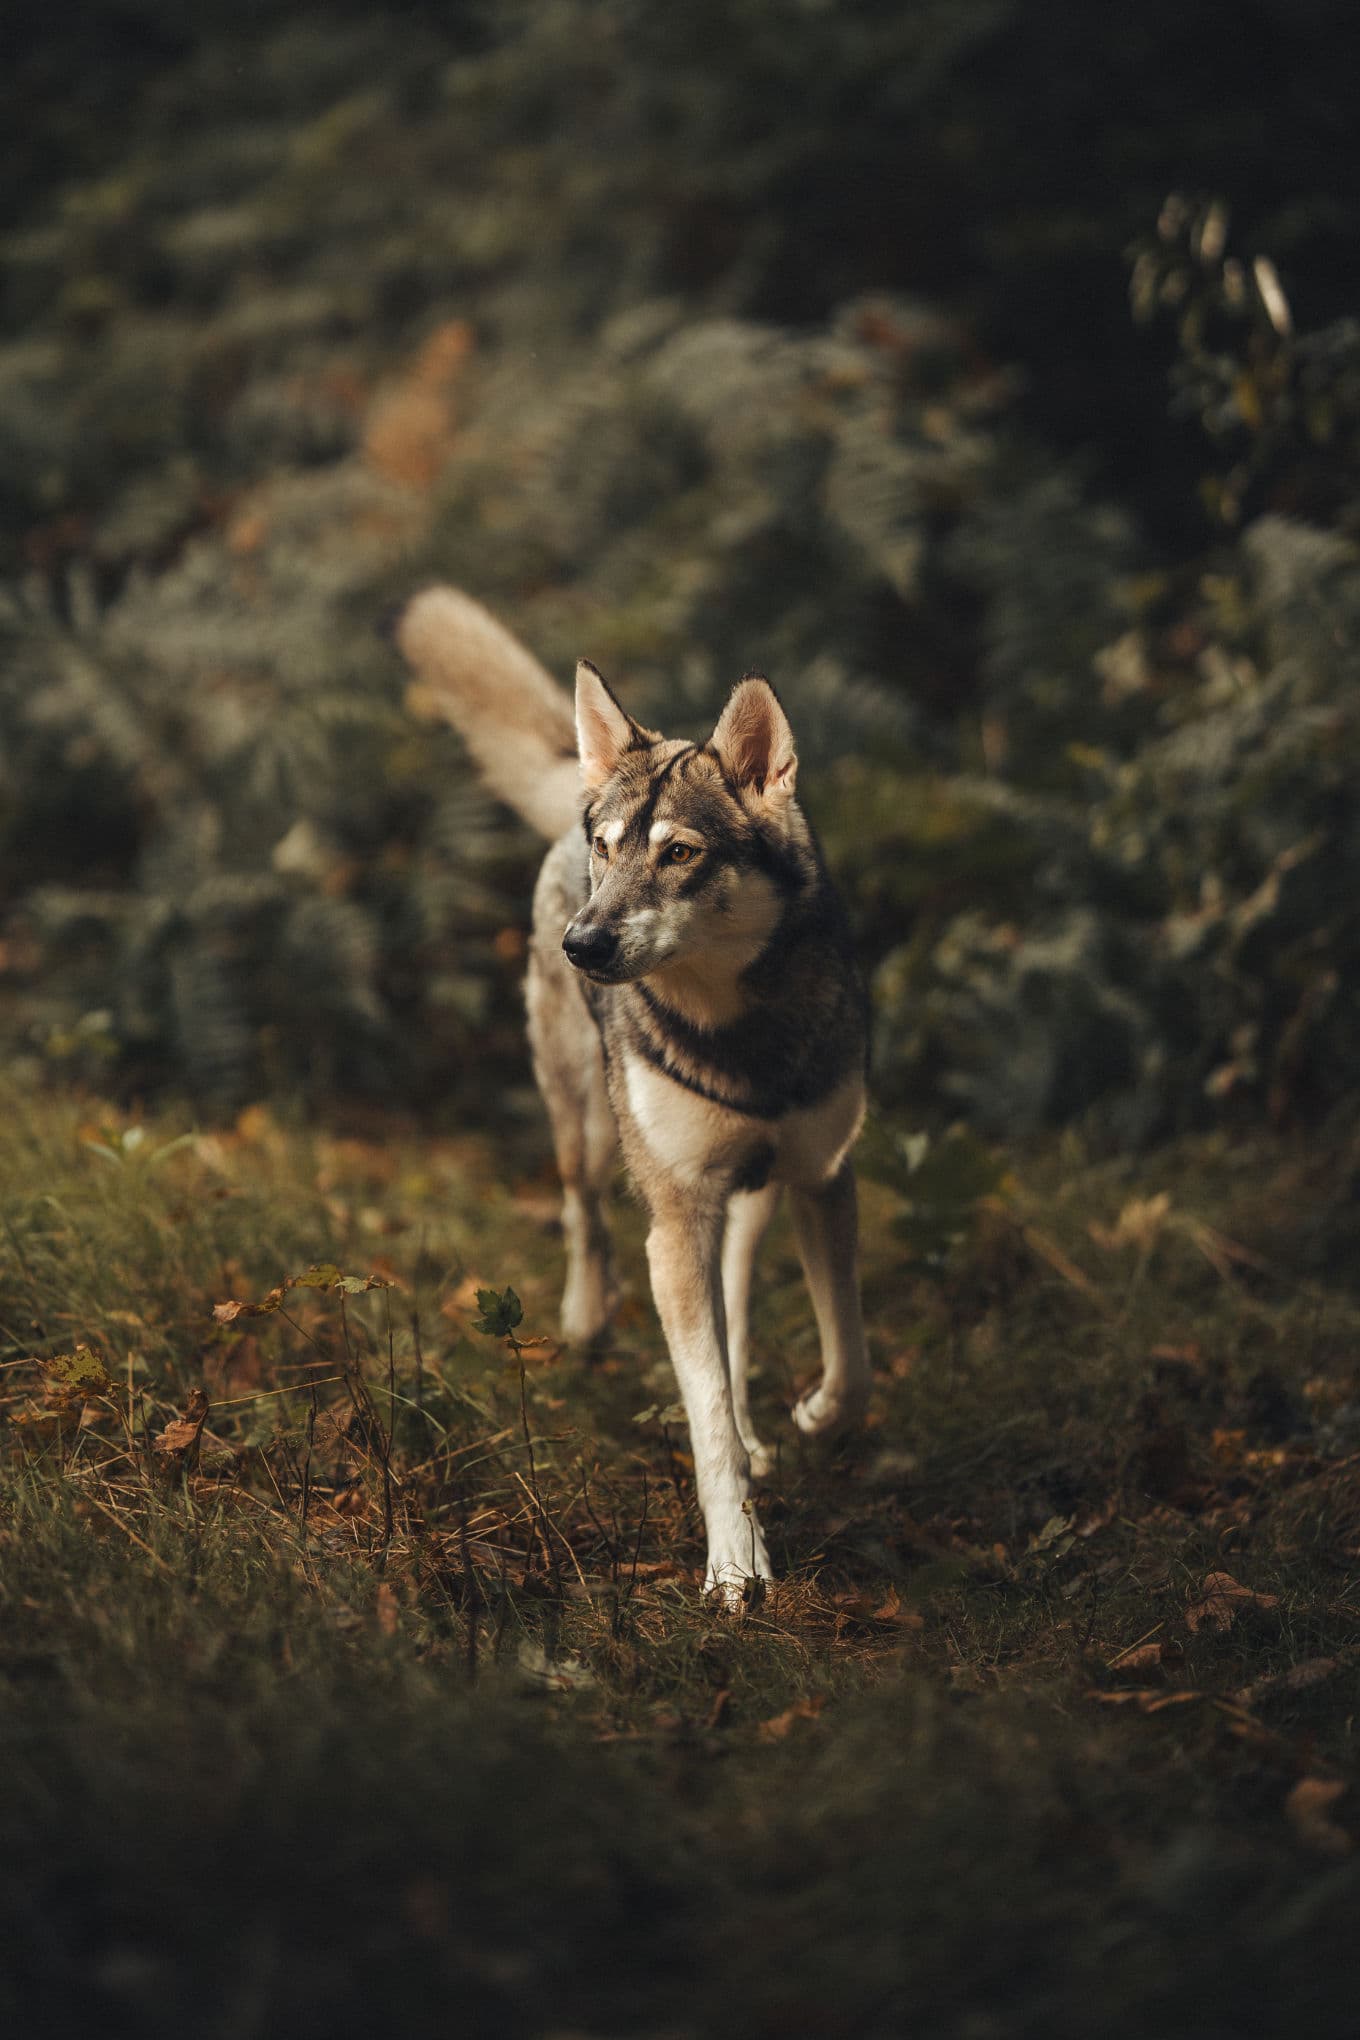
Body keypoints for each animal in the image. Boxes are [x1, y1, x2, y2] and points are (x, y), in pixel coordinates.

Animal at [398, 588, 871, 1602]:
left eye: (680, 854)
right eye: (610, 851)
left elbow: (847, 1360)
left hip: (742, 1202)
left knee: (733, 1305)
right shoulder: (676, 1214)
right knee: (584, 1215)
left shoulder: (822, 1179)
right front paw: (734, 1566)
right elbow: (706, 1418)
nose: (583, 943)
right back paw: (584, 1320)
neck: (740, 1031)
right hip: (585, 1132)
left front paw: (814, 1417)